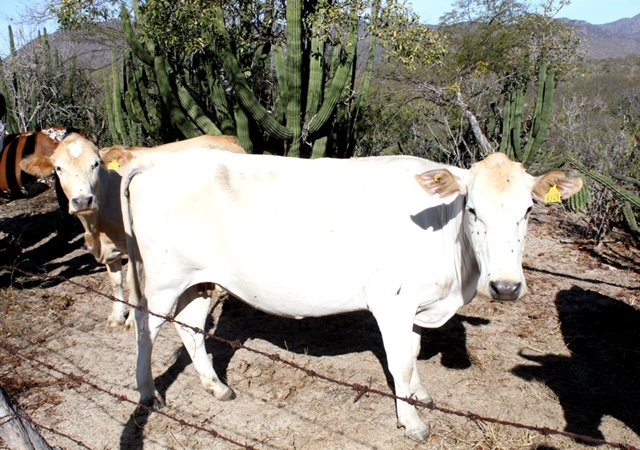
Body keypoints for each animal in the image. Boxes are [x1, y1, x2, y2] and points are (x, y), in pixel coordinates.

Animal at [19, 134, 245, 326]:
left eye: (96, 164)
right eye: (58, 168)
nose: (83, 201)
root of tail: (225, 138)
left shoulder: (135, 248)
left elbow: (131, 282)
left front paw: (132, 320)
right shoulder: (109, 250)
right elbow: (115, 282)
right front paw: (117, 316)